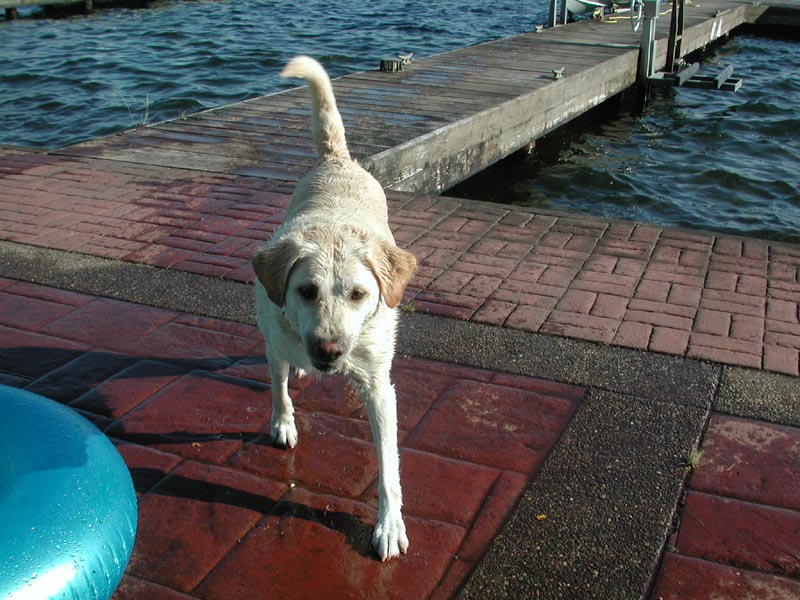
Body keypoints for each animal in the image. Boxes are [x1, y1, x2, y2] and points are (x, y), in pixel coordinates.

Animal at [253, 56, 418, 564]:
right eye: (306, 291)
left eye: (360, 295)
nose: (328, 352)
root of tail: (338, 159)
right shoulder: (275, 341)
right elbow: (279, 389)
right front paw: (283, 422)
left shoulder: (382, 389)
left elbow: (389, 466)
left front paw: (388, 524)